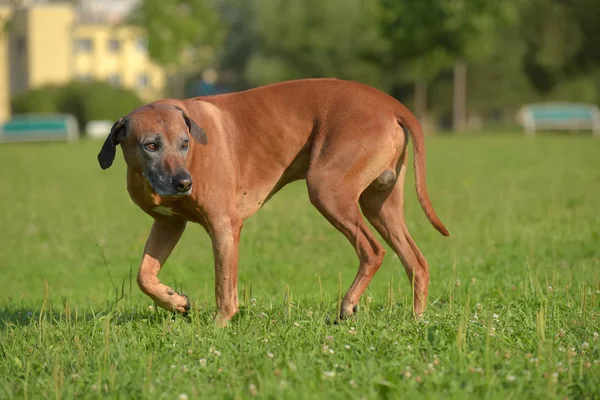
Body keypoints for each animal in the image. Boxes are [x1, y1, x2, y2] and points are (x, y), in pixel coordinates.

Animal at [96, 78, 448, 324]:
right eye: (150, 145)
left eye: (184, 143)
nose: (184, 183)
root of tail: (390, 104)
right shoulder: (168, 222)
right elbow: (144, 275)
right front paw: (175, 301)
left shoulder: (224, 227)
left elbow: (224, 287)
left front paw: (218, 327)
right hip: (380, 206)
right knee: (416, 262)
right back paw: (417, 320)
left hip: (328, 190)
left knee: (373, 251)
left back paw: (349, 304)